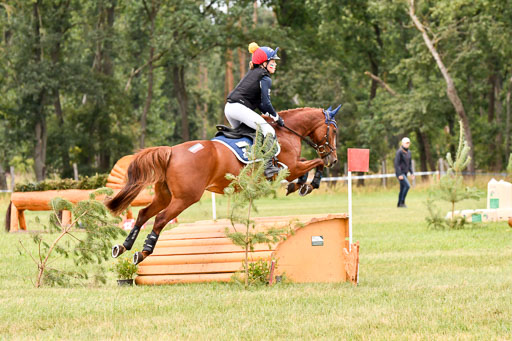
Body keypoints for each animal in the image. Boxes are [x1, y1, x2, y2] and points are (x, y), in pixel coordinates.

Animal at [107, 105, 340, 262]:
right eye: (334, 132)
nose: (335, 159)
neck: (287, 131)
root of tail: (171, 151)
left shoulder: (293, 166)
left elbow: (310, 164)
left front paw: (300, 185)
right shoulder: (290, 167)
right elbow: (316, 163)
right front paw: (309, 184)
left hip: (165, 195)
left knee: (143, 214)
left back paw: (123, 246)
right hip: (186, 198)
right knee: (160, 219)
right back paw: (143, 251)